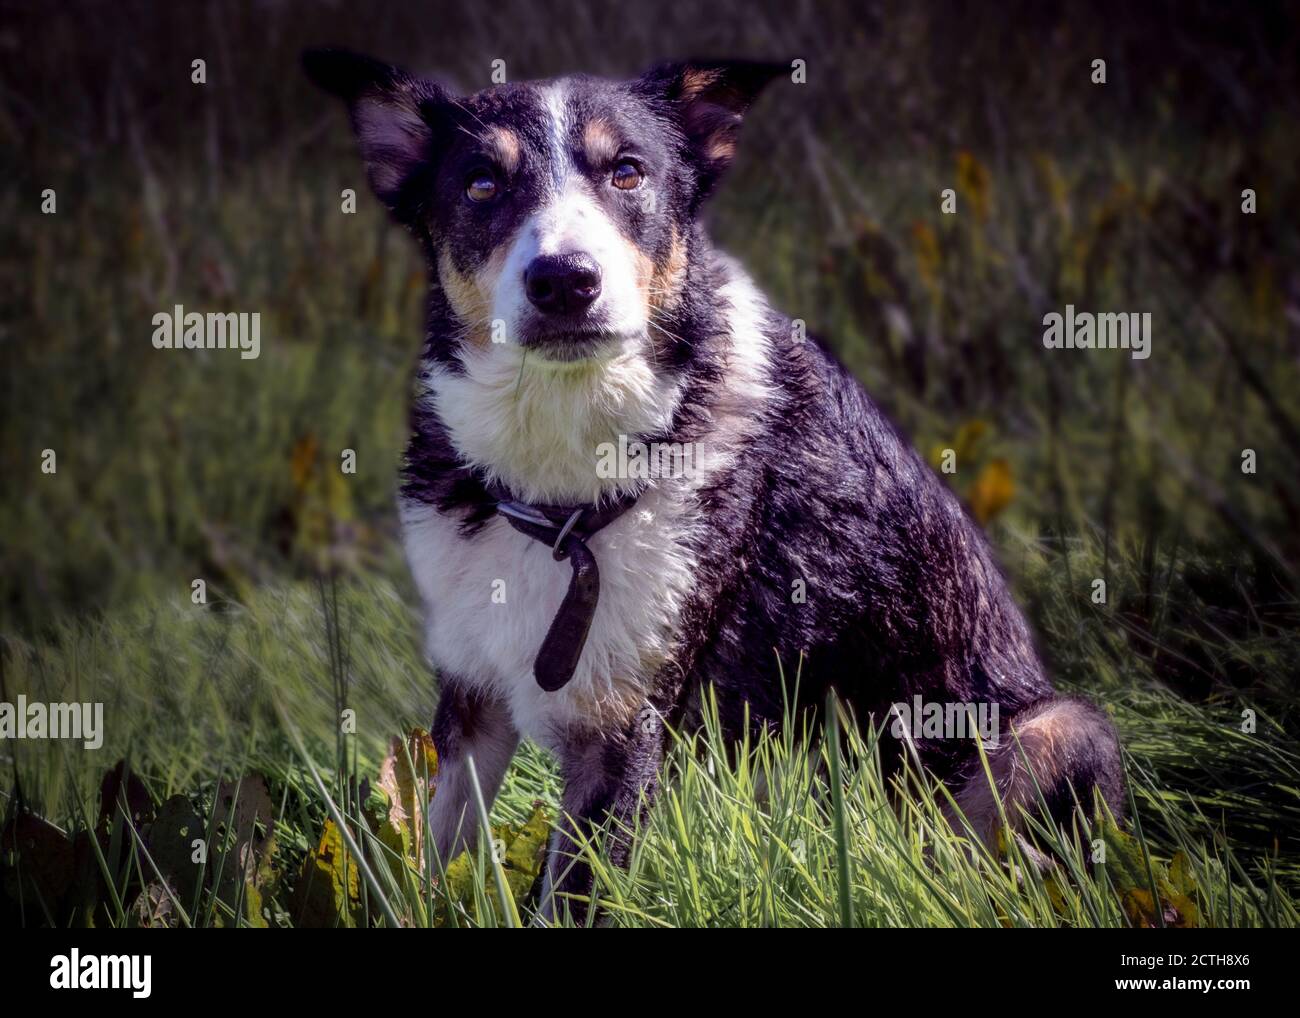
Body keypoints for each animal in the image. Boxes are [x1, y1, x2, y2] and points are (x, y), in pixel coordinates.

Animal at [306, 47, 1128, 925]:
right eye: (482, 184)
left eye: (628, 172)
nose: (565, 279)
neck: (561, 482)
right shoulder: (471, 699)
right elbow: (433, 865)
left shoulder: (621, 732)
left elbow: (569, 897)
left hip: (1058, 730)